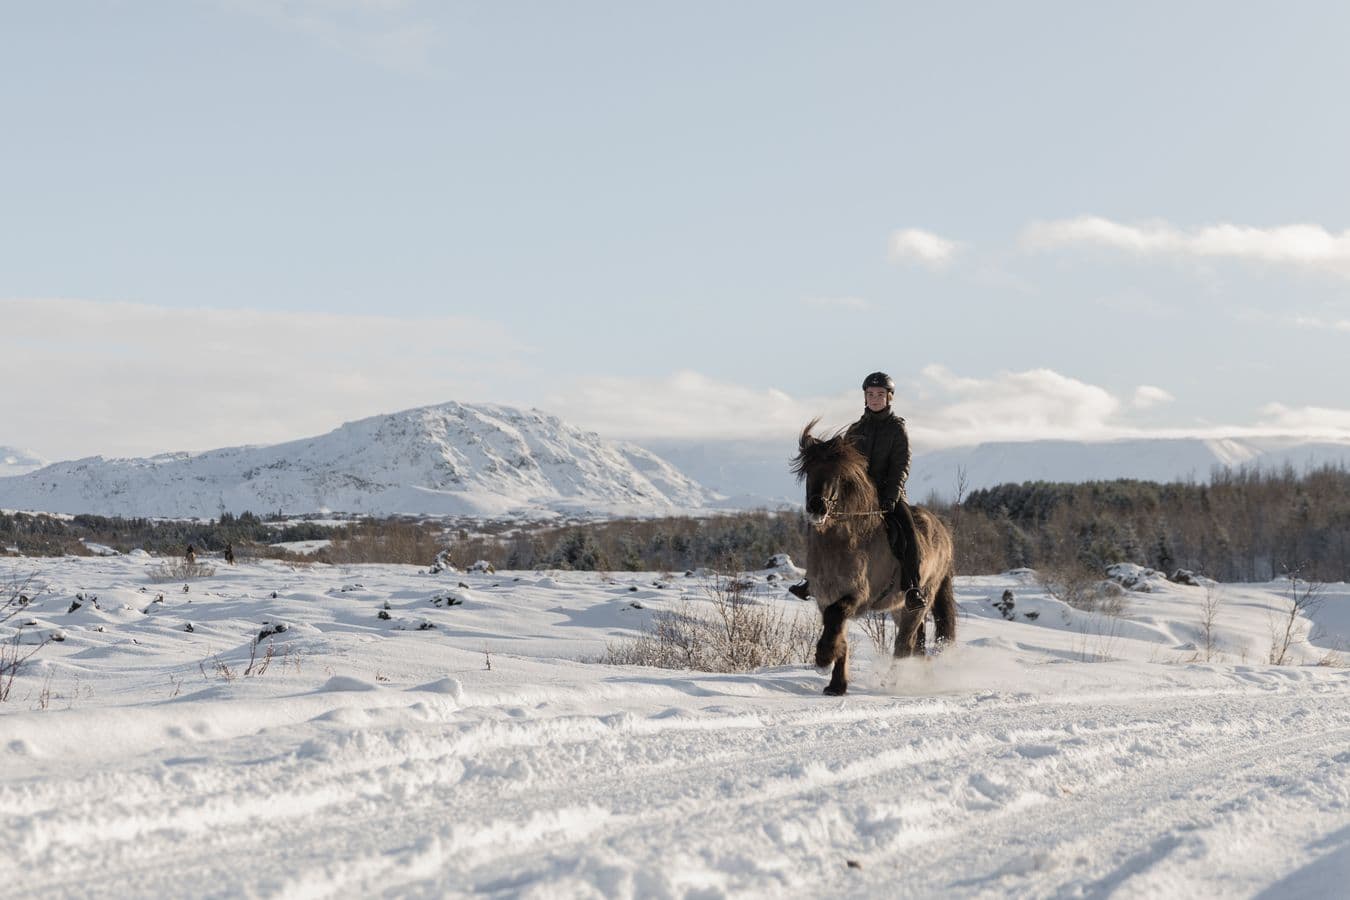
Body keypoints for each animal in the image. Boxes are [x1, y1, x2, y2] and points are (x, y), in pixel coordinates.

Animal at [791, 418, 957, 695]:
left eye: (838, 475)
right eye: (809, 471)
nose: (817, 508)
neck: (841, 541)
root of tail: (943, 529)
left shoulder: (858, 596)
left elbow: (836, 617)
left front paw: (824, 658)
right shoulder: (825, 597)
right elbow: (837, 629)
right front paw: (836, 684)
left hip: (920, 599)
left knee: (904, 645)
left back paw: (894, 682)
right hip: (899, 607)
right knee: (916, 644)